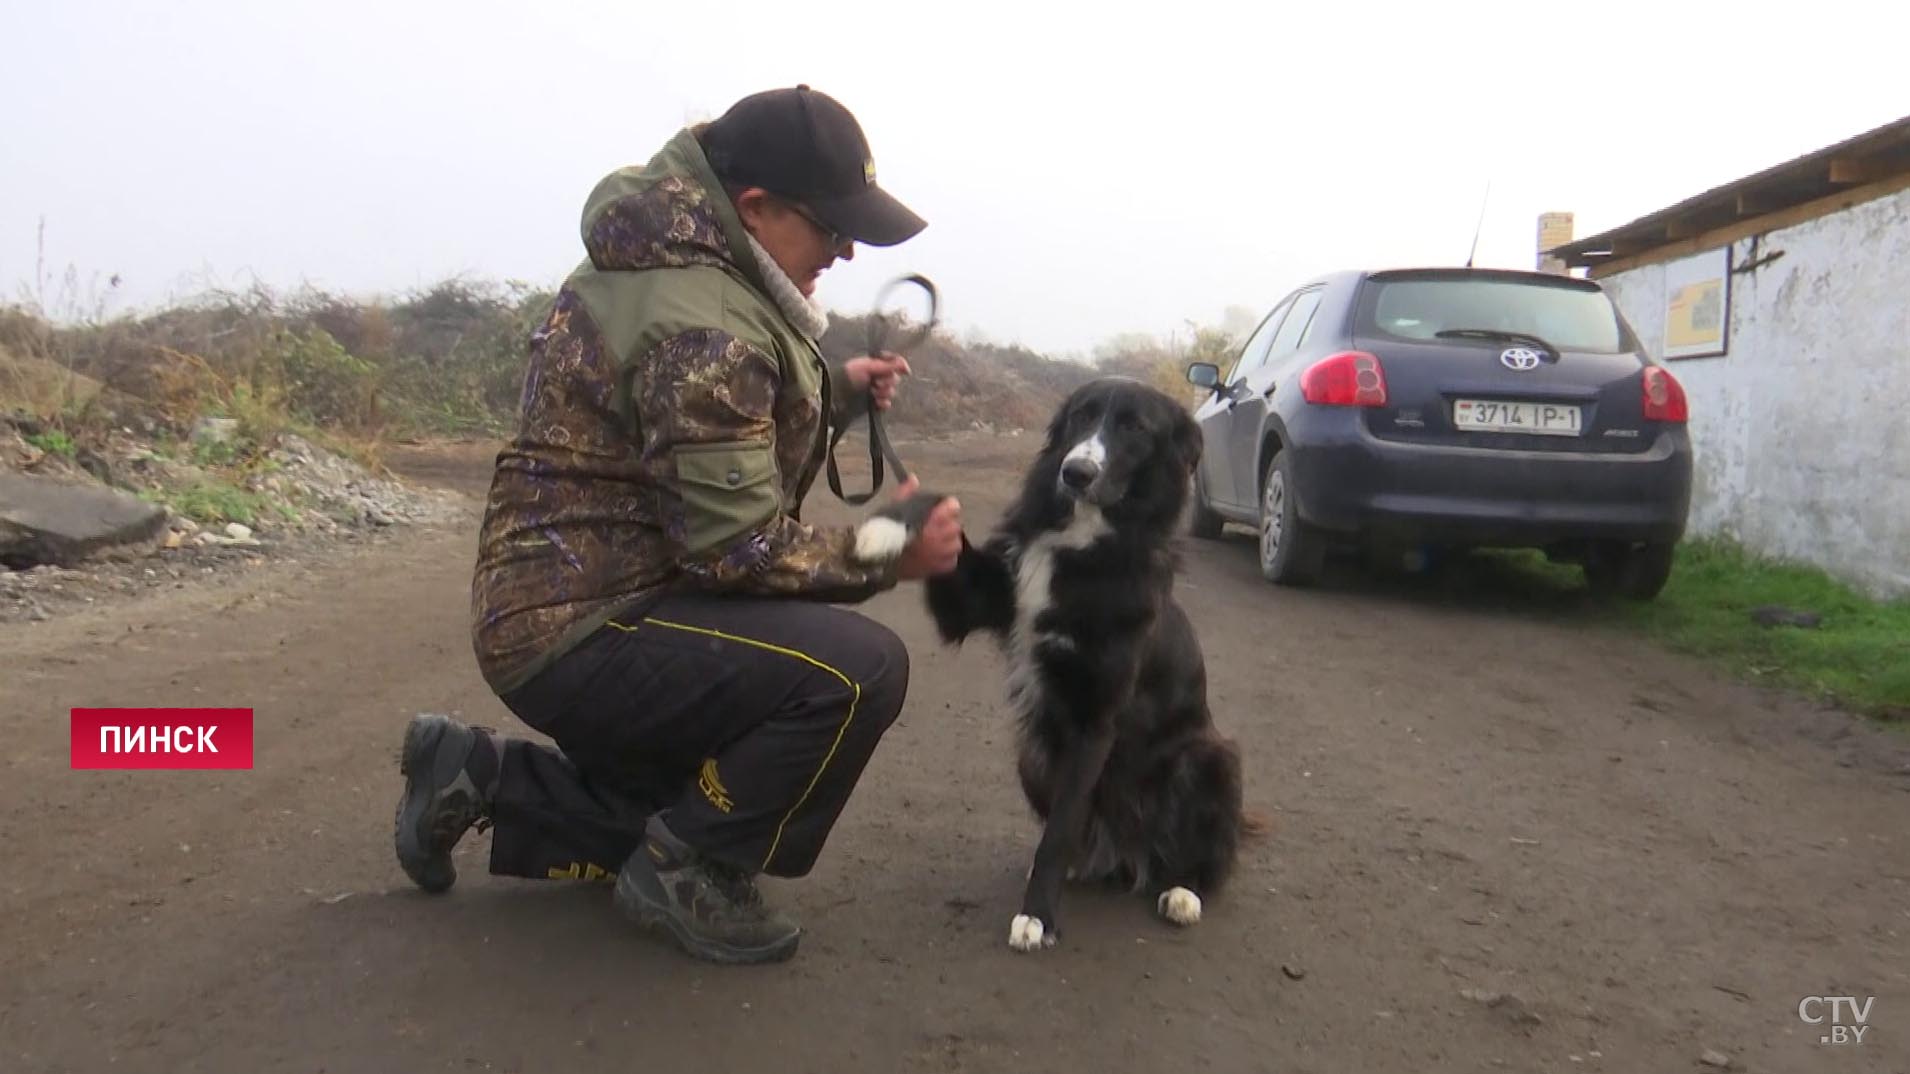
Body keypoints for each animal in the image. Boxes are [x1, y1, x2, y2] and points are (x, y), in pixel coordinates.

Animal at [886, 380, 1260, 947]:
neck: (1084, 538)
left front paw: (1037, 915)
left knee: (1203, 856)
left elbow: (1059, 829)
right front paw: (897, 517)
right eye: (1082, 416)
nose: (1076, 472)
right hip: (1032, 755)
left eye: (1134, 428)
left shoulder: (1095, 722)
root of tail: (1132, 853)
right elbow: (941, 523)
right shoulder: (973, 604)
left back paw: (1181, 891)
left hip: (1209, 759)